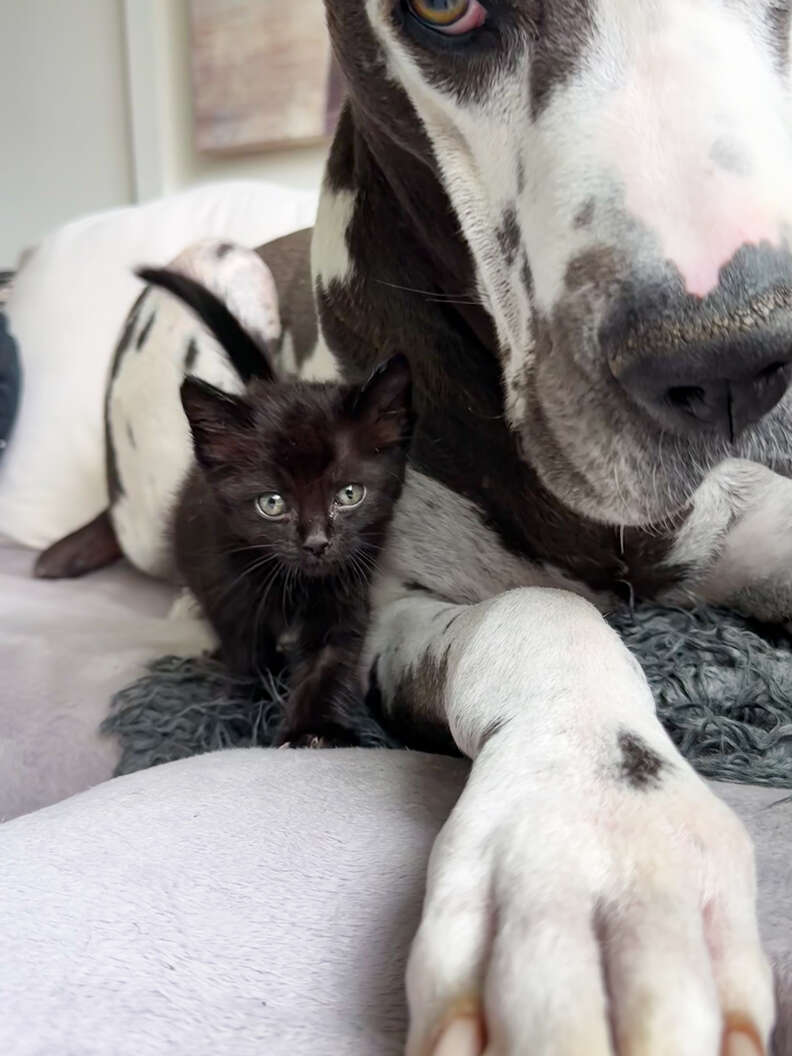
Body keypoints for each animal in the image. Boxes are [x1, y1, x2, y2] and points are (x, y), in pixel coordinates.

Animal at [137, 272, 411, 751]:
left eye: (349, 494)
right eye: (272, 504)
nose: (317, 542)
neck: (295, 586)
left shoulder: (345, 589)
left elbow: (329, 658)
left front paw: (314, 729)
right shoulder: (226, 585)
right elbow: (247, 650)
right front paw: (252, 702)